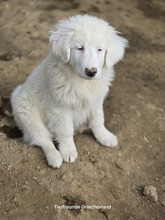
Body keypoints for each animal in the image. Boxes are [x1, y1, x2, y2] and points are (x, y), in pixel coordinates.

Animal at [10, 14, 128, 168]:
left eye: (100, 50)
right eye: (80, 48)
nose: (91, 72)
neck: (83, 82)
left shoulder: (96, 100)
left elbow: (98, 120)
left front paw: (104, 136)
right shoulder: (60, 107)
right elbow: (65, 131)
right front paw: (68, 151)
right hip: (27, 113)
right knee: (43, 139)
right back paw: (54, 157)